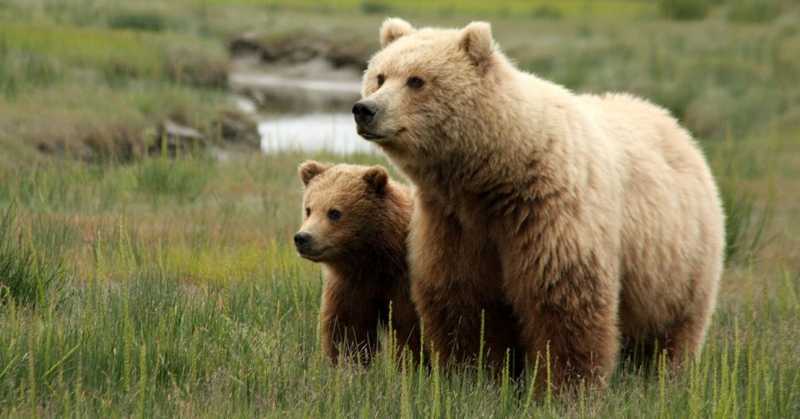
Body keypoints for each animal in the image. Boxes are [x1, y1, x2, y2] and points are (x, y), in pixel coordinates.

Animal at [295, 161, 421, 365]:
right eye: (308, 209)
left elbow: (410, 331)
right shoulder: (351, 286)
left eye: (334, 212)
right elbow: (348, 333)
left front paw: (410, 365)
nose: (302, 238)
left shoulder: (403, 284)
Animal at [352, 18, 725, 390]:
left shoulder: (548, 214)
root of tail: (674, 125)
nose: (365, 109)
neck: (492, 177)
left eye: (417, 80)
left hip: (678, 261)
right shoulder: (453, 224)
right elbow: (464, 302)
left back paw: (665, 377)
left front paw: (564, 387)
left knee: (671, 331)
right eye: (380, 76)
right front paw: (471, 377)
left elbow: (562, 304)